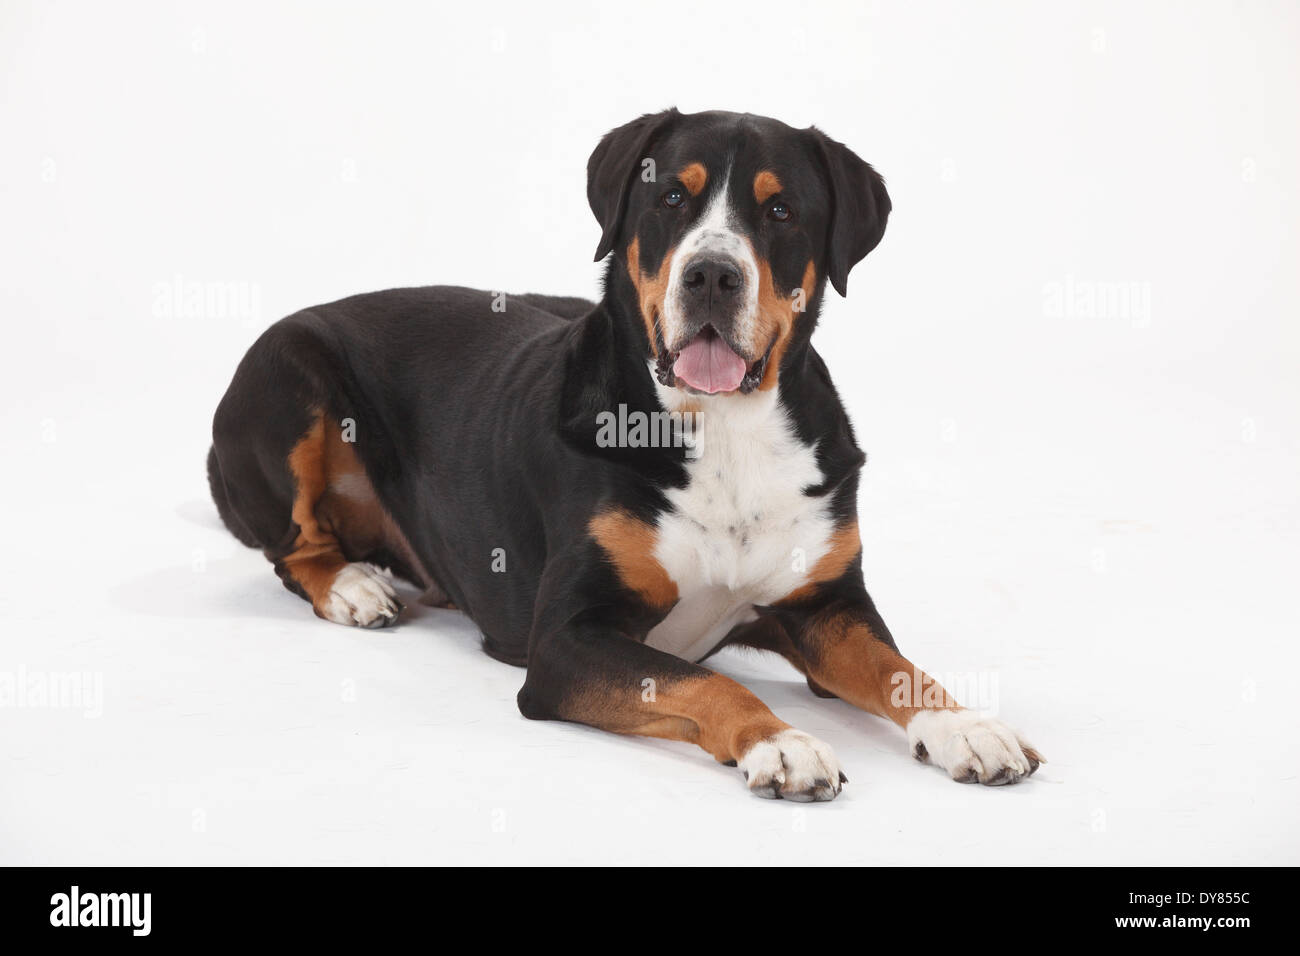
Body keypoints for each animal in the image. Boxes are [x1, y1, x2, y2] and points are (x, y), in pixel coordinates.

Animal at [213, 108, 1045, 801]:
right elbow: (702, 684)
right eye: (672, 198)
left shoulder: (825, 604)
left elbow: (899, 671)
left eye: (780, 210)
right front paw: (780, 742)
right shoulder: (566, 640)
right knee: (295, 545)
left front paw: (969, 726)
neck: (726, 431)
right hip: (287, 370)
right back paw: (354, 587)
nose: (713, 274)